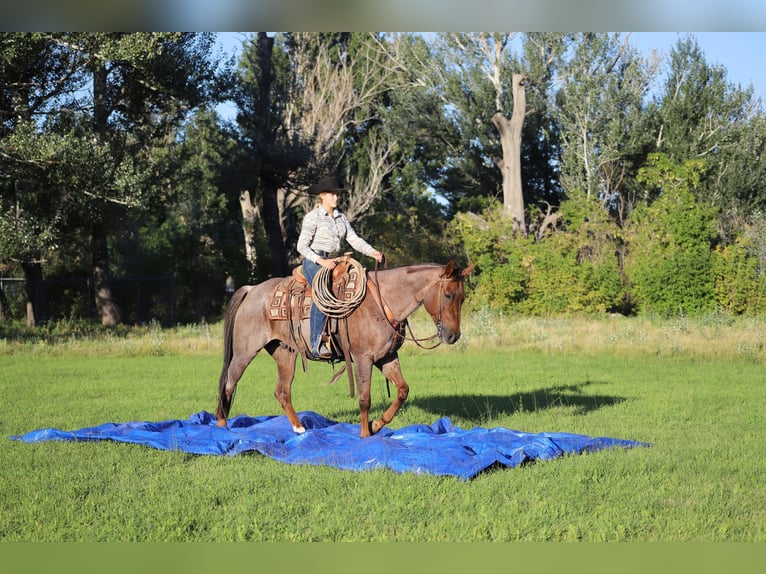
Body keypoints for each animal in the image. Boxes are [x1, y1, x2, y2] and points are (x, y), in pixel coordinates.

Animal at [216, 264, 474, 438]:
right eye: (448, 295)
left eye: (462, 297)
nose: (453, 335)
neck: (382, 302)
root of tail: (252, 290)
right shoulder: (363, 359)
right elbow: (364, 398)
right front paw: (365, 434)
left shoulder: (387, 357)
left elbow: (402, 390)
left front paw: (377, 425)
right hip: (244, 352)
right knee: (229, 382)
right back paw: (221, 426)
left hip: (284, 353)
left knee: (282, 391)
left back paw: (299, 429)